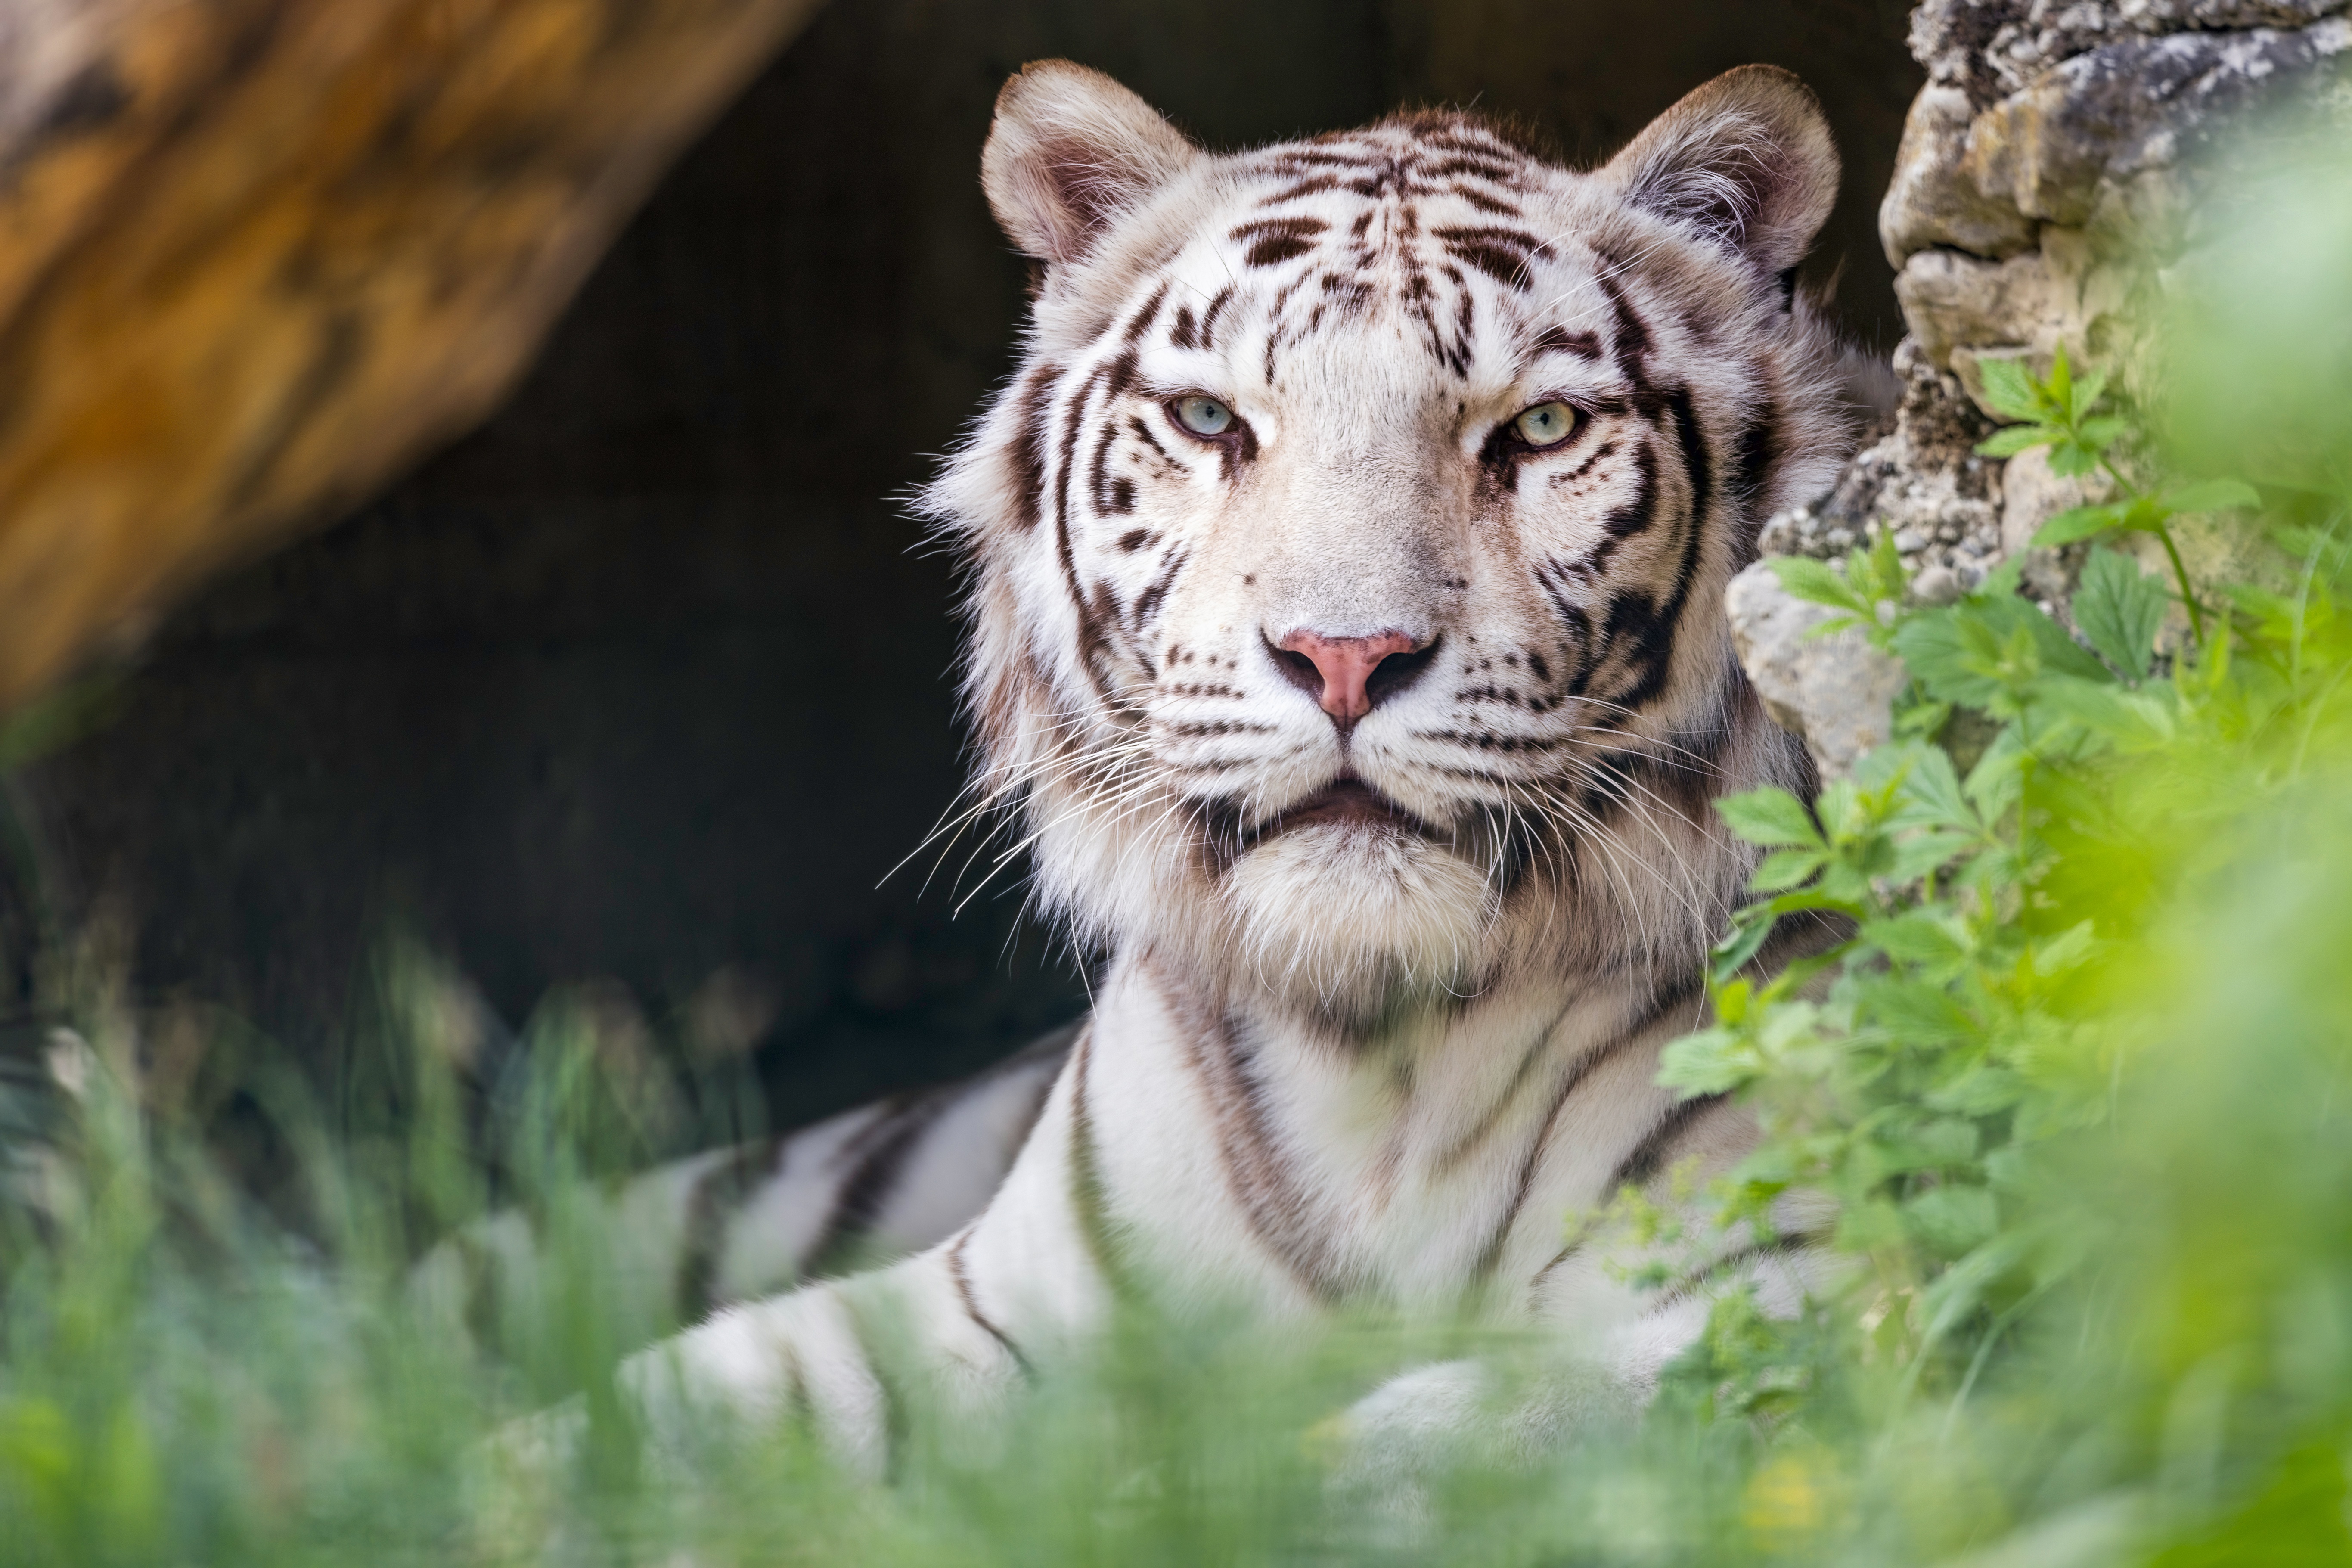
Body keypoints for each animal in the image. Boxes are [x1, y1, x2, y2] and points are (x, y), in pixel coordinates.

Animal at [495, 57, 1883, 1476]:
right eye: (1210, 419)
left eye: (1540, 427)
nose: (1344, 656)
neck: (1386, 1061)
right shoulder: (1001, 1298)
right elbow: (638, 1416)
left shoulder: (1792, 1304)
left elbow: (1405, 1458)